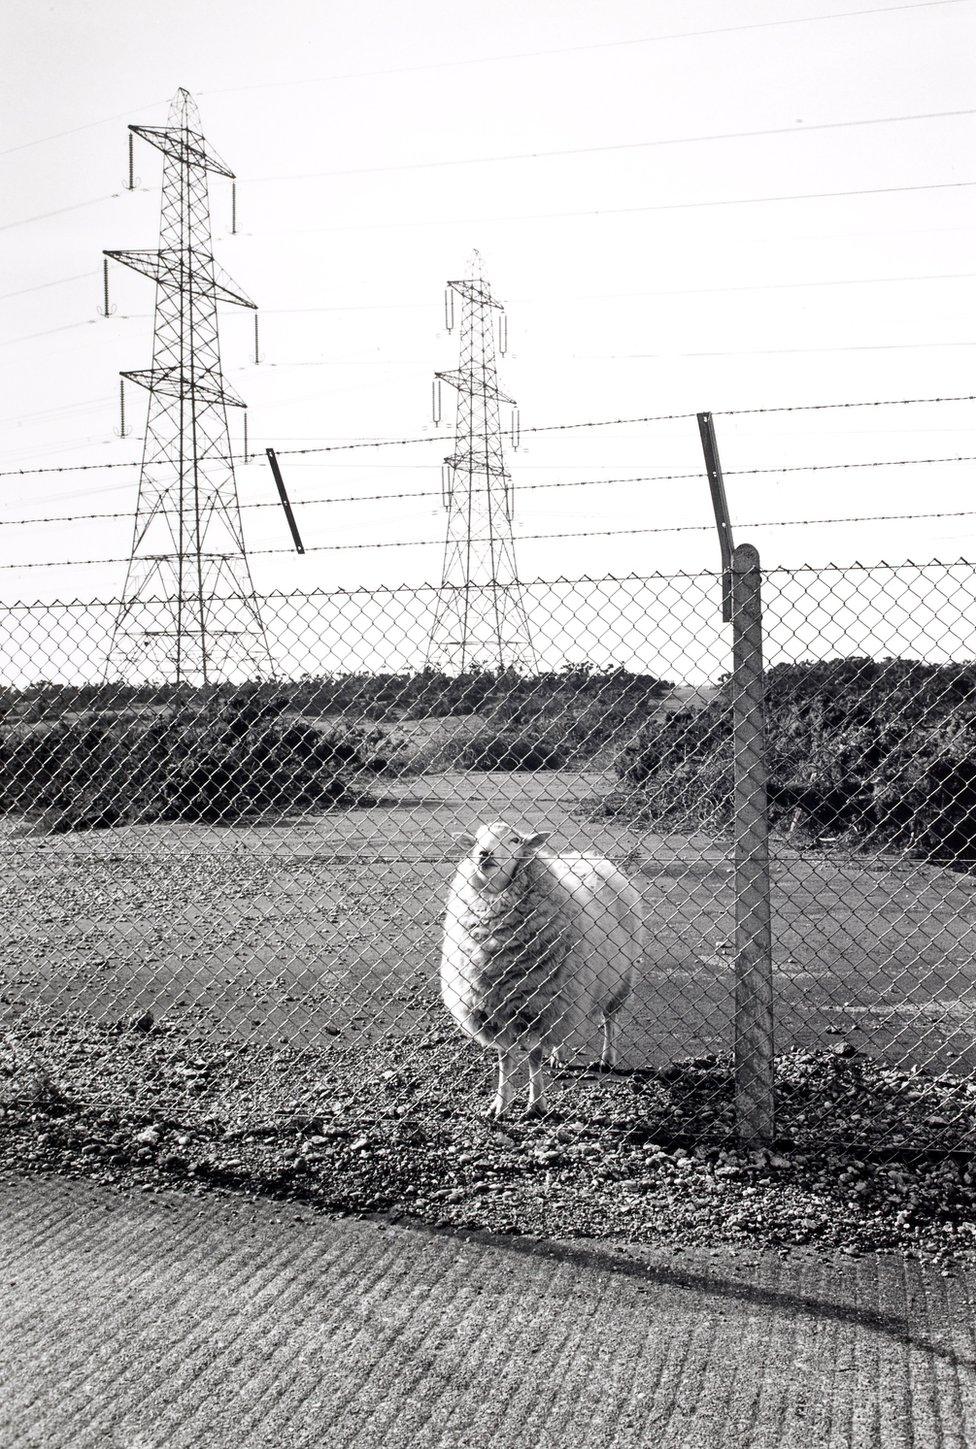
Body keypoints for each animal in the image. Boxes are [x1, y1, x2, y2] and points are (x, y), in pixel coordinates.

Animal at [440, 823, 637, 1112]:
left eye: (514, 840)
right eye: (475, 839)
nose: (484, 853)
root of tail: (586, 855)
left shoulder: (538, 1005)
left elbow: (534, 1055)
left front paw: (537, 1103)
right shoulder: (496, 1009)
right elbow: (505, 1056)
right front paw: (501, 1103)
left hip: (619, 980)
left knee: (610, 1020)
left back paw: (607, 1058)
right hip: (568, 994)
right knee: (563, 1032)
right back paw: (559, 1056)